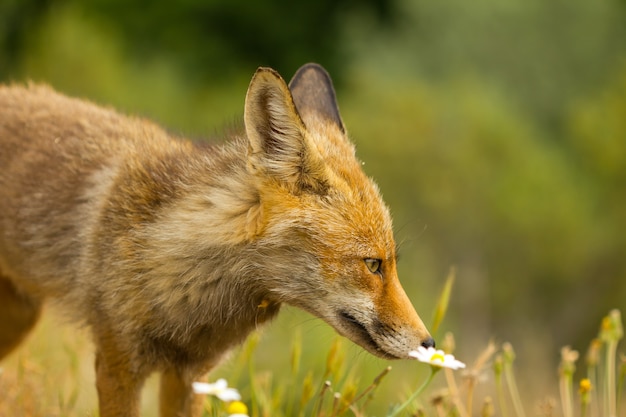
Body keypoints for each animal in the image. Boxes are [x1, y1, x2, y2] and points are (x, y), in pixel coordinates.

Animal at [0, 62, 434, 416]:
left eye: (389, 263)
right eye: (373, 264)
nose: (429, 344)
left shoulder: (192, 375)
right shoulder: (118, 362)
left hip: (20, 320)